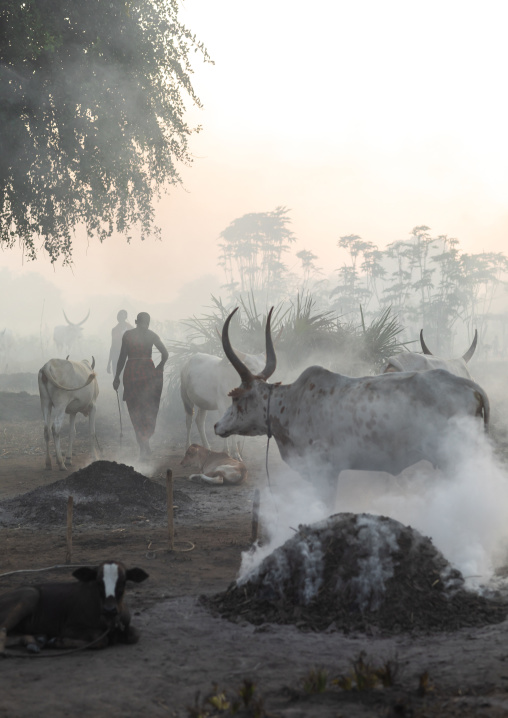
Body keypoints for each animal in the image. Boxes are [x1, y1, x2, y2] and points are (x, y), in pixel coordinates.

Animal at [0, 561, 148, 653]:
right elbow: (101, 638)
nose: (109, 609)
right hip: (30, 594)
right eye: (98, 582)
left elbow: (135, 634)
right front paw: (57, 641)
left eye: (123, 582)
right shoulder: (67, 628)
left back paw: (35, 640)